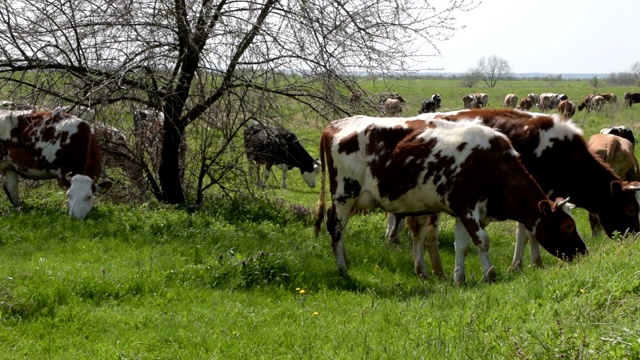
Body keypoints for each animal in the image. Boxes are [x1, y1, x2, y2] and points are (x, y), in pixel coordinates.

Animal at [312, 114, 588, 282]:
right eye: (568, 225)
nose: (583, 252)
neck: (493, 165)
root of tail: (335, 125)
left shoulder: (461, 211)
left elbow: (461, 244)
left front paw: (459, 277)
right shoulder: (466, 206)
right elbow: (482, 241)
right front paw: (490, 274)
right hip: (344, 195)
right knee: (336, 229)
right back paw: (343, 271)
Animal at [412, 109, 636, 272]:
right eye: (631, 209)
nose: (634, 237)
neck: (560, 153)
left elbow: (525, 232)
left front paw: (523, 263)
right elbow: (528, 233)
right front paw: (529, 263)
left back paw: (437, 271)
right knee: (424, 232)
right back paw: (427, 270)